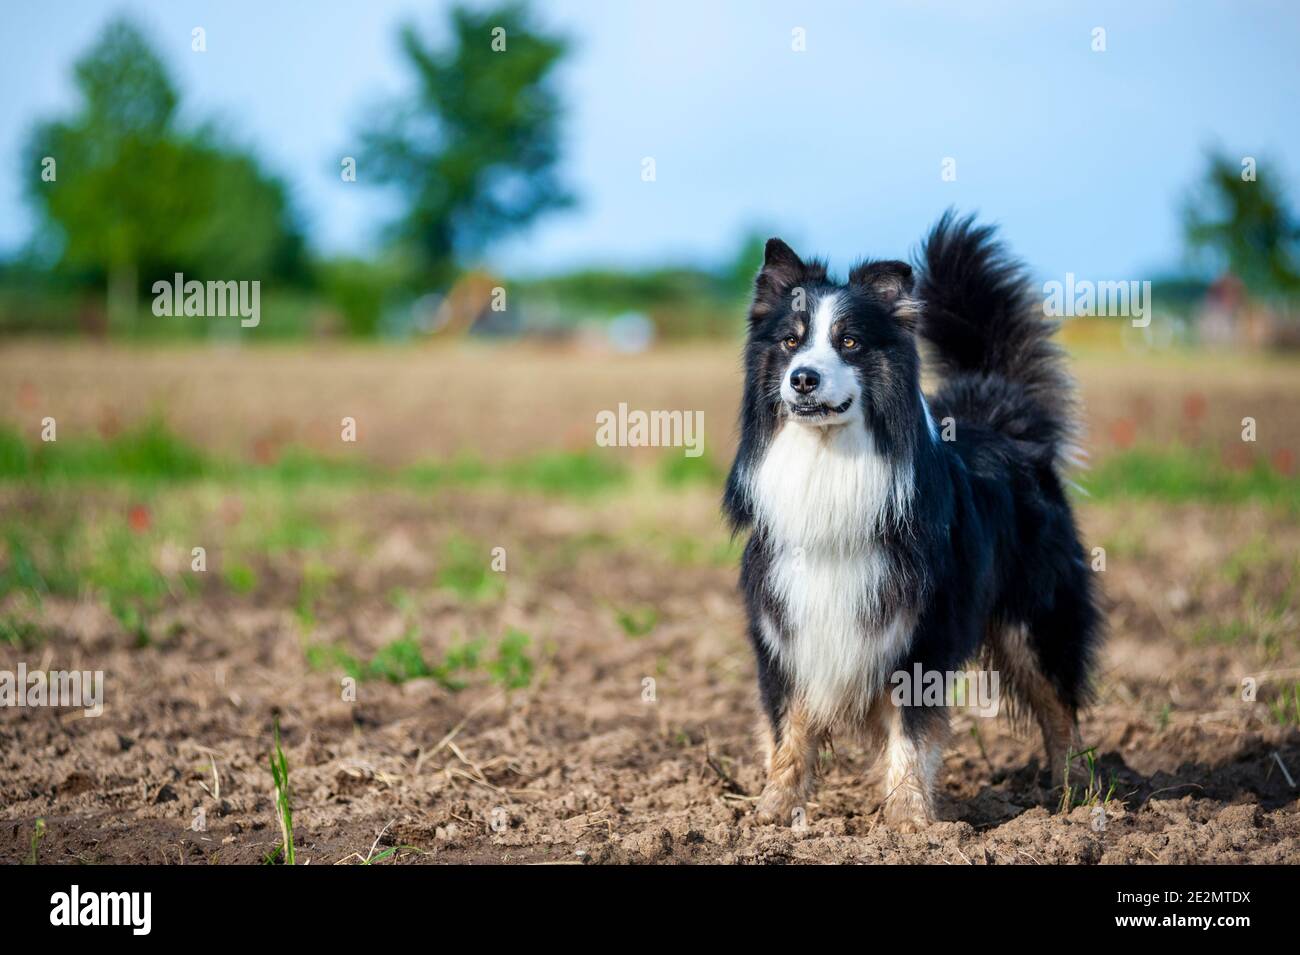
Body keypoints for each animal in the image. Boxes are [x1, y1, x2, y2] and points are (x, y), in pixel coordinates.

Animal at [728, 210, 1102, 831]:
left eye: (849, 342)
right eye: (790, 341)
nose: (802, 377)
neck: (827, 461)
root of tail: (1001, 419)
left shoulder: (920, 631)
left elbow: (912, 733)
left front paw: (911, 824)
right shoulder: (788, 625)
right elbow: (790, 730)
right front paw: (773, 812)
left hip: (1037, 619)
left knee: (1059, 709)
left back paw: (1078, 798)